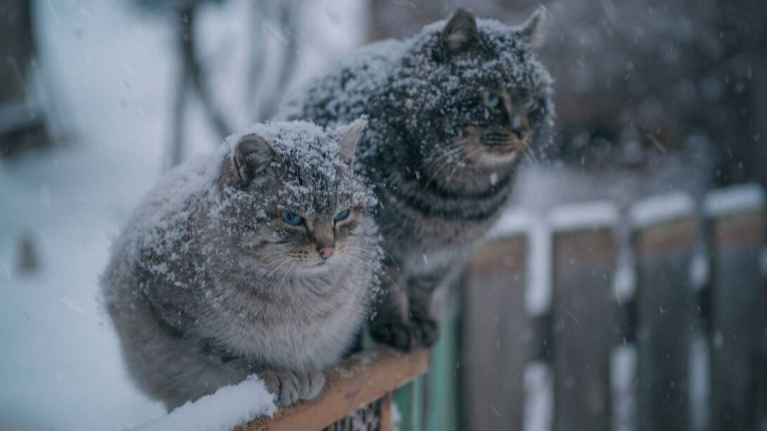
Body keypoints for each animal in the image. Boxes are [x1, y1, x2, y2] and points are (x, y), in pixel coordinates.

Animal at [99, 120, 380, 410]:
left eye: (342, 214)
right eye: (292, 217)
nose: (327, 250)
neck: (300, 296)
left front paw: (306, 374)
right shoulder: (183, 325)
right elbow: (234, 358)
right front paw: (279, 375)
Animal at [280, 7, 556, 352]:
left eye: (532, 102)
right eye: (492, 98)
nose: (522, 132)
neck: (459, 197)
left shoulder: (445, 256)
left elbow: (423, 289)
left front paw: (422, 323)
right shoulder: (383, 243)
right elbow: (388, 287)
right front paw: (396, 327)